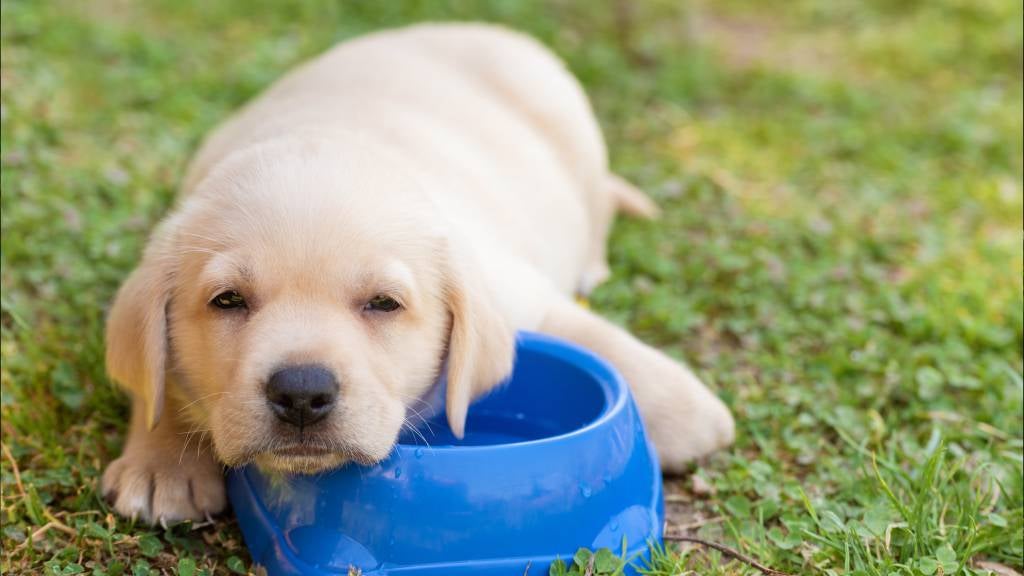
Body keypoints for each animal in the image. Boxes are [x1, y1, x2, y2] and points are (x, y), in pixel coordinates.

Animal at [99, 24, 733, 522]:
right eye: (228, 301)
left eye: (384, 303)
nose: (301, 393)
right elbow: (156, 377)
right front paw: (162, 461)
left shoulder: (515, 290)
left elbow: (590, 335)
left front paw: (686, 412)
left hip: (573, 128)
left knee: (595, 203)